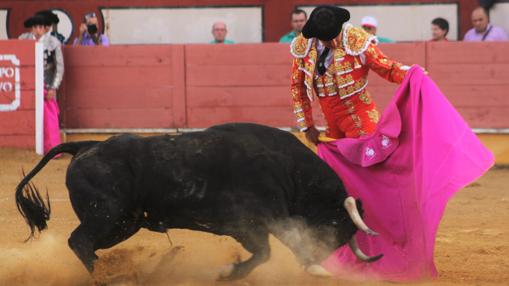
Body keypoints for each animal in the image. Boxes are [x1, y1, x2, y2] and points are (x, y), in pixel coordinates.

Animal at [15, 122, 380, 280]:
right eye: (334, 225)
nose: (317, 260)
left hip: (123, 224)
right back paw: (107, 276)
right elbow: (271, 249)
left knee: (86, 244)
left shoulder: (248, 226)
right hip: (105, 215)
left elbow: (265, 251)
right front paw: (228, 272)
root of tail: (86, 146)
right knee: (79, 241)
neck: (288, 170)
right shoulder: (257, 220)